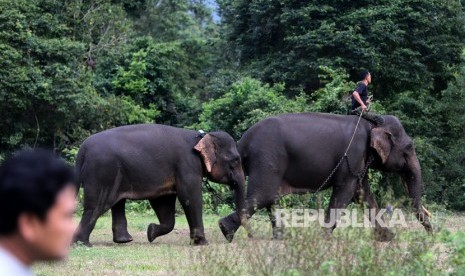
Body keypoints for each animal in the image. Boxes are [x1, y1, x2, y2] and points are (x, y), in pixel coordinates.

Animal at [72, 123, 246, 246]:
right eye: (236, 160)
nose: (228, 237)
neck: (200, 137)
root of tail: (82, 149)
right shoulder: (187, 165)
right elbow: (190, 196)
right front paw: (202, 243)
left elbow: (163, 202)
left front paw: (150, 232)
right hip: (102, 173)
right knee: (95, 207)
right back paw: (83, 244)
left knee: (117, 203)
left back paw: (124, 240)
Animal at [218, 112, 432, 242]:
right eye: (409, 148)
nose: (432, 234)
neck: (371, 123)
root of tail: (242, 142)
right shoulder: (353, 155)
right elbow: (345, 192)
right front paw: (326, 238)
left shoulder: (359, 162)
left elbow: (362, 194)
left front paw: (388, 237)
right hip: (267, 159)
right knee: (262, 196)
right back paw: (225, 231)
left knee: (270, 198)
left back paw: (279, 237)